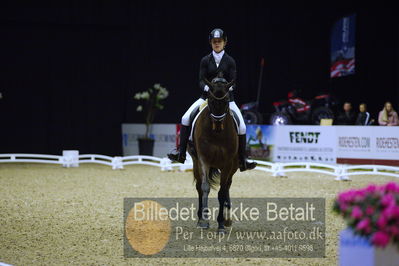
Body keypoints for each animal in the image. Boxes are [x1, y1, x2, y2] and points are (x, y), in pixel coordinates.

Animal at [189, 77, 239, 233]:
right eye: (210, 99)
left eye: (227, 100)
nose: (217, 125)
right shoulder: (203, 160)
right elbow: (205, 187)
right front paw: (204, 221)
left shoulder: (228, 164)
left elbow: (222, 192)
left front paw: (221, 224)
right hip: (196, 162)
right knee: (199, 187)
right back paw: (200, 219)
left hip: (233, 168)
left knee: (227, 186)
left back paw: (228, 218)